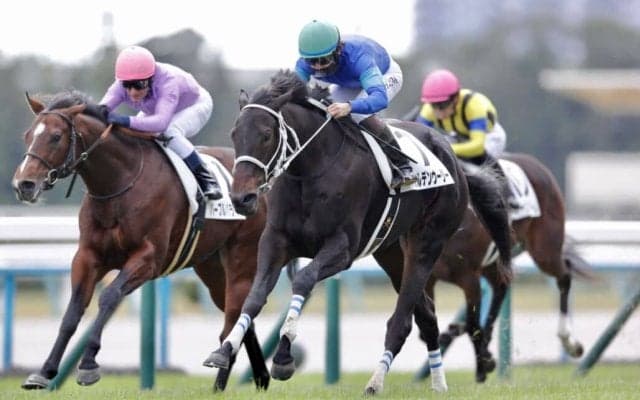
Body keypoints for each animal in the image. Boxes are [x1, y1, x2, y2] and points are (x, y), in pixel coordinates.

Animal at [11, 90, 270, 392]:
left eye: (55, 136)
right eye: (28, 135)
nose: (24, 185)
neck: (117, 185)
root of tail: (258, 185)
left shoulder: (148, 258)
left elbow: (109, 297)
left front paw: (88, 366)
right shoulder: (88, 256)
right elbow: (73, 310)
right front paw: (44, 371)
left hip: (242, 258)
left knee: (234, 315)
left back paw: (223, 376)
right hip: (212, 269)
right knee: (239, 315)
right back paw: (257, 378)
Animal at [201, 70, 512, 395]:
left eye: (266, 135)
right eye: (234, 135)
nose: (242, 199)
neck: (310, 169)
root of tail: (455, 164)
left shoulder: (342, 248)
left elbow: (304, 279)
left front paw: (284, 358)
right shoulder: (275, 242)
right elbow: (254, 296)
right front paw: (223, 351)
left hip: (428, 242)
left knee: (402, 321)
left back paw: (376, 382)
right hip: (391, 252)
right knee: (426, 316)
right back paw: (438, 385)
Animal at [425, 152, 592, 382]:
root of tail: (535, 164)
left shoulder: (469, 278)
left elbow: (473, 326)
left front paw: (482, 365)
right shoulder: (428, 280)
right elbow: (429, 328)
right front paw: (483, 357)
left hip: (544, 251)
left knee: (564, 275)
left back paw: (569, 341)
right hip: (496, 261)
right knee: (501, 288)